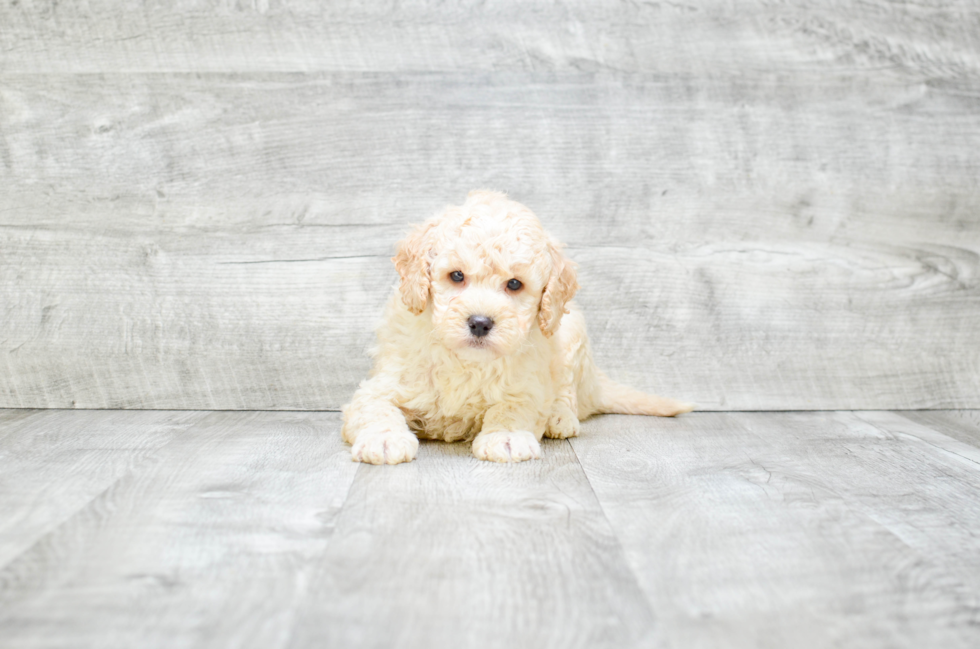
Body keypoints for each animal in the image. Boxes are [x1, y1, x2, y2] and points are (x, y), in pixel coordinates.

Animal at [340, 190, 692, 464]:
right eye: (456, 276)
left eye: (514, 284)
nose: (480, 323)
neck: (466, 361)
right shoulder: (383, 382)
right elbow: (376, 407)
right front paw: (384, 439)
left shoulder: (527, 384)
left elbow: (514, 406)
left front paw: (506, 437)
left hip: (571, 332)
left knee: (567, 390)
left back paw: (561, 418)